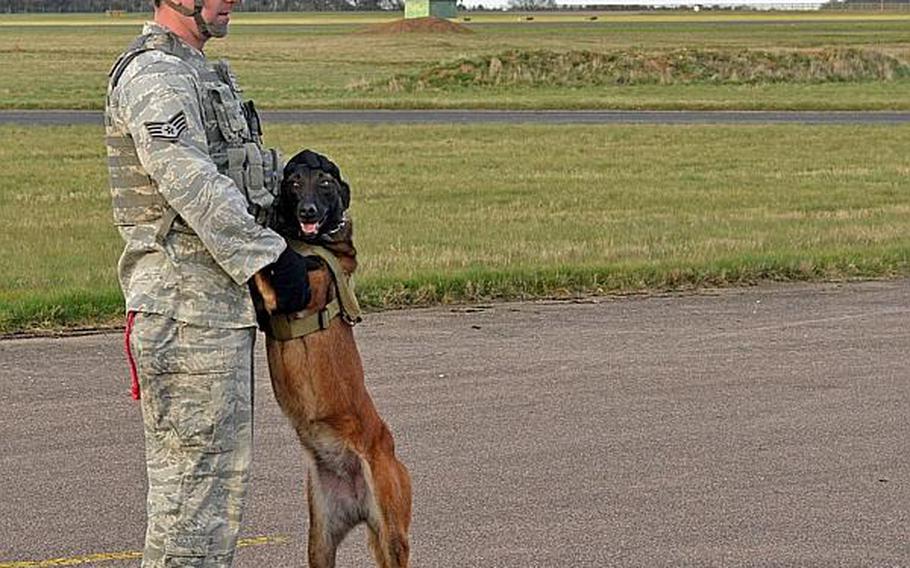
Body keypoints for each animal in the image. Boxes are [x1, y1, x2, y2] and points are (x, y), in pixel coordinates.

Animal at [255, 152, 416, 568]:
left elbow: (264, 268)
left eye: (325, 183)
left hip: (392, 531)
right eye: (294, 182)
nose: (308, 210)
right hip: (321, 539)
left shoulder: (290, 292)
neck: (312, 242)